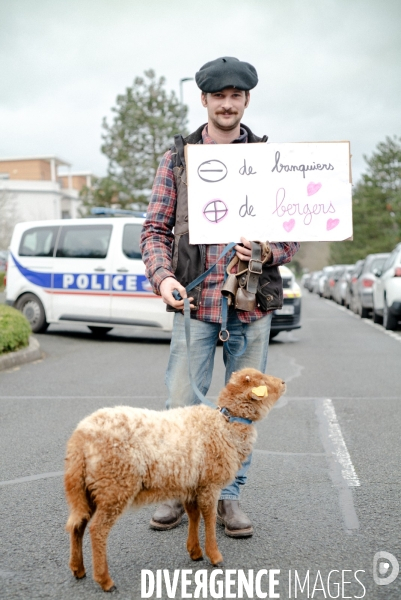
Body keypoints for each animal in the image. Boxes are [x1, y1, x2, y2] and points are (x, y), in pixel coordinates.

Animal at [64, 366, 284, 592]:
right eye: (263, 381)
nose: (284, 382)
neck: (225, 424)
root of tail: (80, 438)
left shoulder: (191, 484)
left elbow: (195, 516)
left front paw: (195, 552)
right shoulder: (210, 484)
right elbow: (209, 519)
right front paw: (214, 556)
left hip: (86, 489)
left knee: (76, 525)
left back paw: (78, 569)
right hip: (114, 485)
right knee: (97, 530)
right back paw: (105, 580)